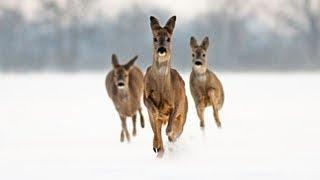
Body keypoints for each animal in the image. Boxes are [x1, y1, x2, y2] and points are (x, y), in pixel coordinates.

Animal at [144, 15, 189, 158]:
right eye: (155, 38)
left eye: (168, 38)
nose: (162, 49)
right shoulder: (145, 96)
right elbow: (152, 109)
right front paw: (157, 146)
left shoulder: (176, 103)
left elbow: (170, 126)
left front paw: (169, 133)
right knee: (156, 131)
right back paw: (158, 148)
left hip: (184, 112)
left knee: (176, 131)